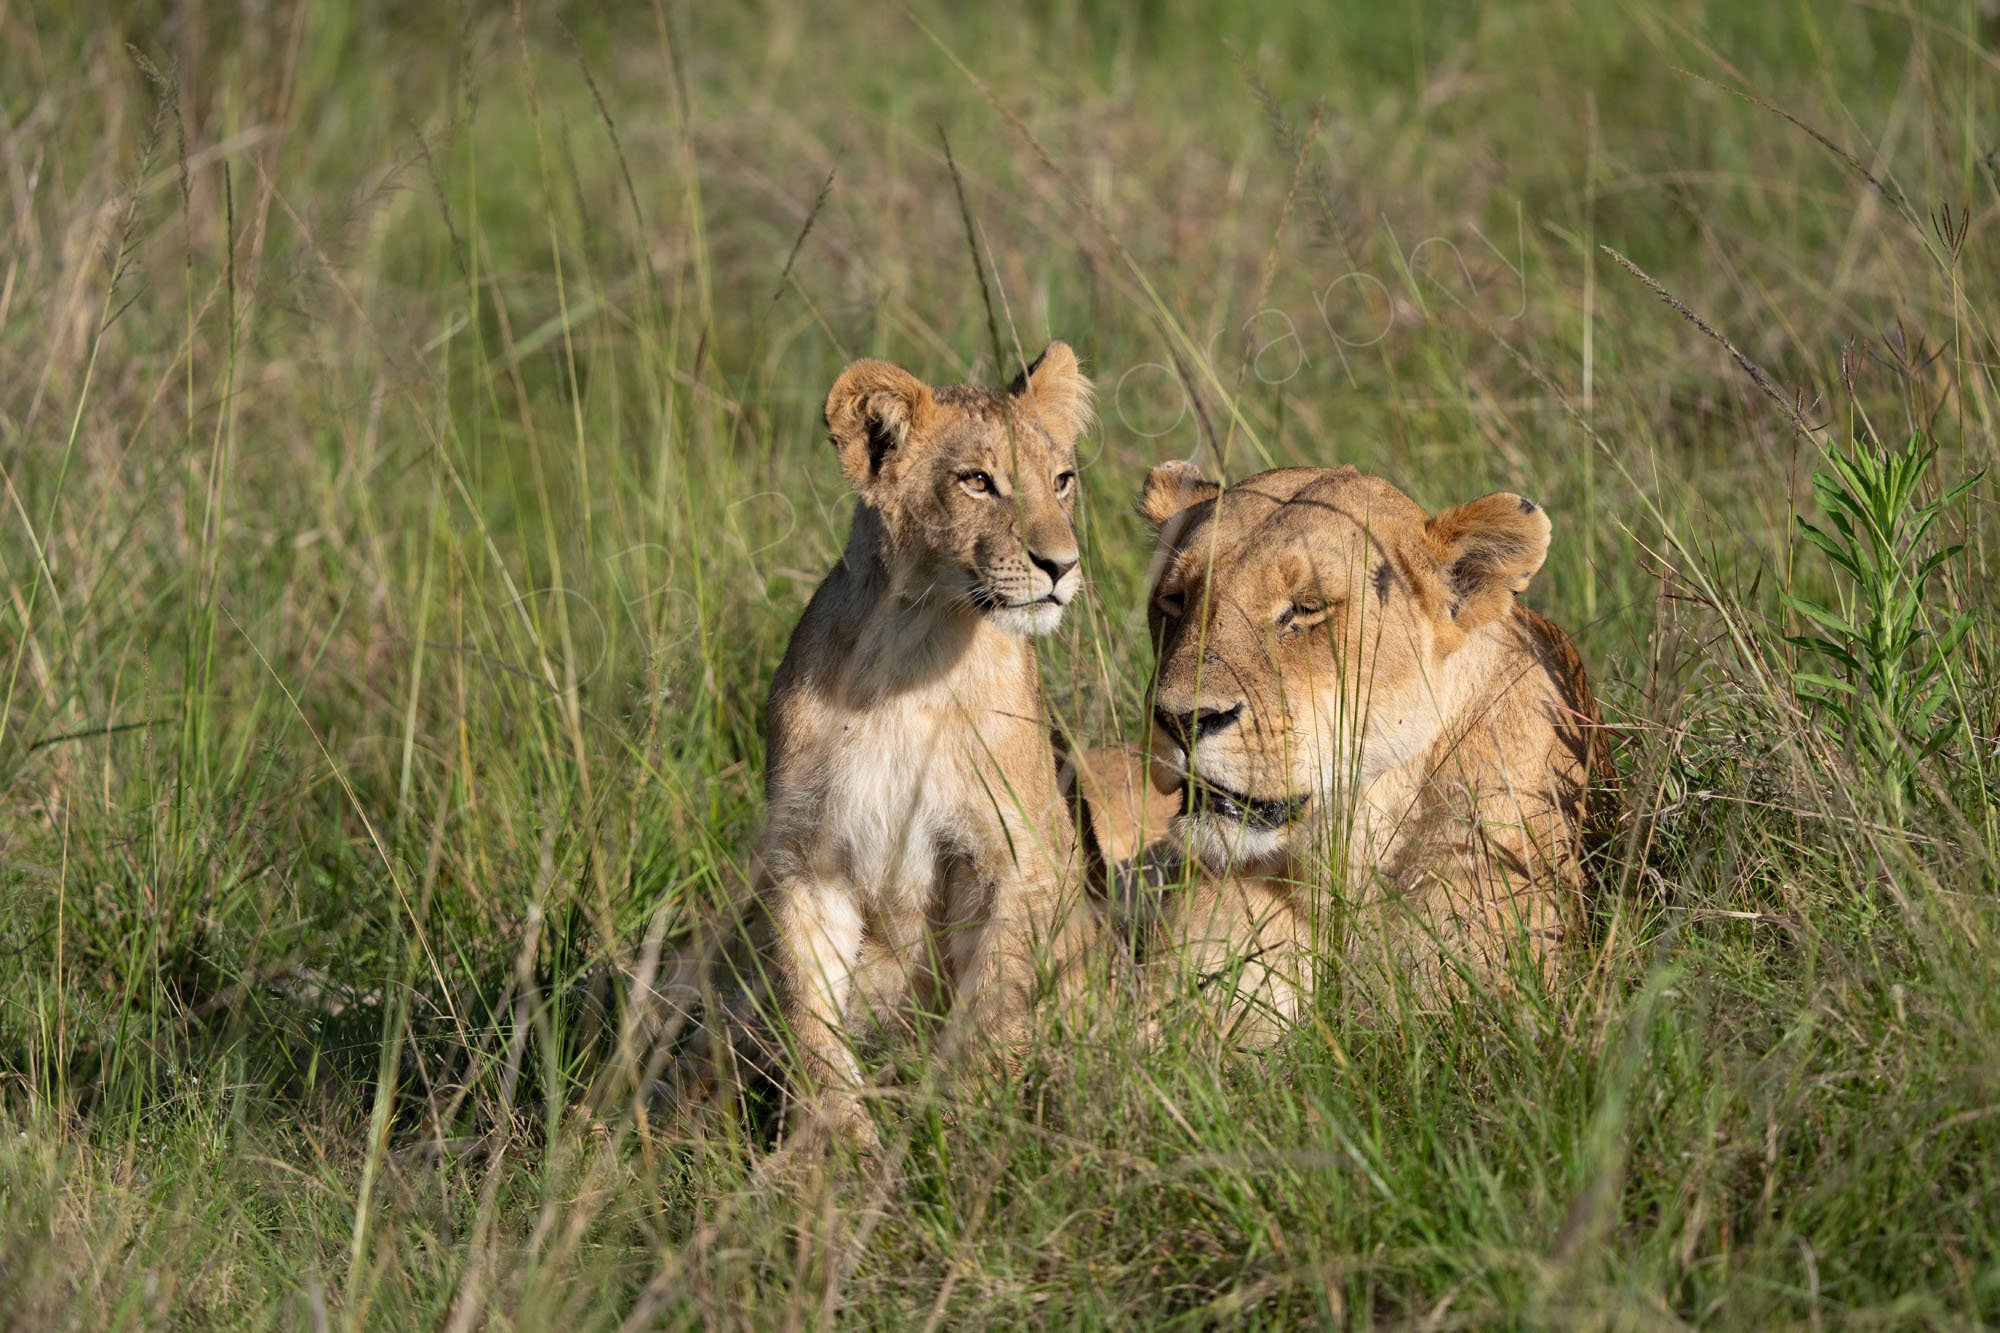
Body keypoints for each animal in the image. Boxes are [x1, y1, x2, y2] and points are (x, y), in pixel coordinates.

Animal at [744, 342, 1098, 1152]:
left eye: (1061, 481)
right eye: (978, 482)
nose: (1062, 567)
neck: (913, 650)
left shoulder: (1015, 850)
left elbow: (994, 1002)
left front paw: (963, 1128)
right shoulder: (805, 856)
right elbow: (810, 1015)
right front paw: (836, 1144)